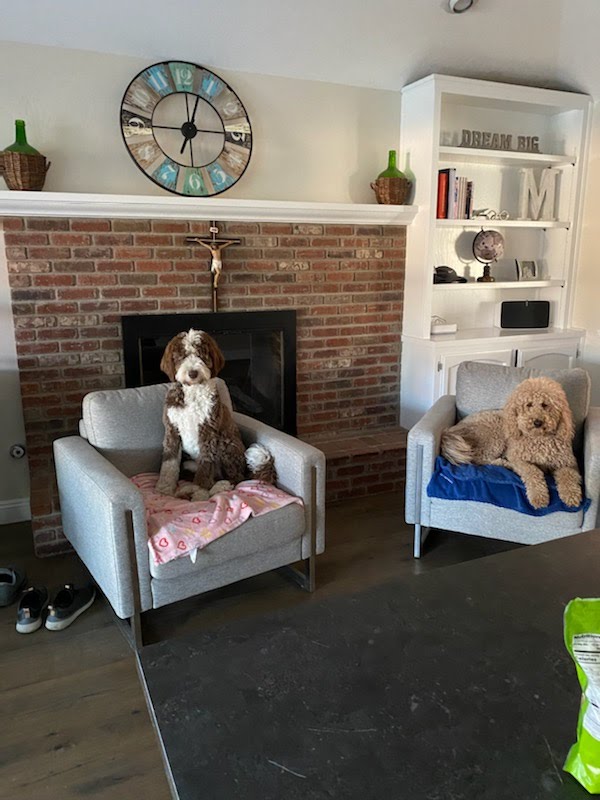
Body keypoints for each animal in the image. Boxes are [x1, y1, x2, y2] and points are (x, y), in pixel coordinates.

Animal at [155, 328, 276, 496]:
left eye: (201, 355)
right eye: (183, 356)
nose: (193, 373)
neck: (193, 391)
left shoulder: (208, 432)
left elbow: (206, 465)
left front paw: (200, 493)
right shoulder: (172, 429)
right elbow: (169, 462)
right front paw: (165, 488)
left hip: (227, 444)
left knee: (236, 479)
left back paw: (219, 487)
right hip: (190, 463)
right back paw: (188, 488)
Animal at [440, 376, 580, 512]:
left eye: (545, 405)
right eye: (529, 404)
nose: (537, 422)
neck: (539, 438)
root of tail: (458, 426)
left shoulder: (568, 463)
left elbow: (568, 476)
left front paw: (571, 495)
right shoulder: (518, 458)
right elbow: (533, 472)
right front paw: (539, 497)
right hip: (495, 435)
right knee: (479, 459)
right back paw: (505, 463)